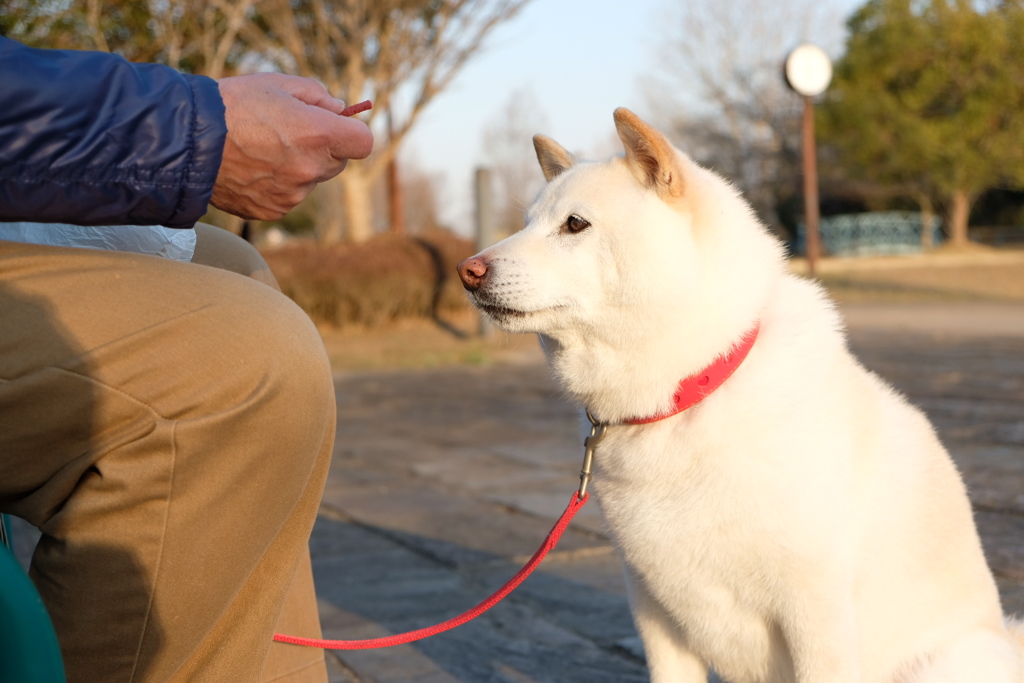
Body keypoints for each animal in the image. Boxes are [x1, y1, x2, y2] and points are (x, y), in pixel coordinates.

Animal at [460, 111, 1024, 683]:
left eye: (574, 224)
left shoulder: (815, 611)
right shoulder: (653, 609)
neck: (688, 394)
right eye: (526, 223)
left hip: (934, 665)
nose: (468, 270)